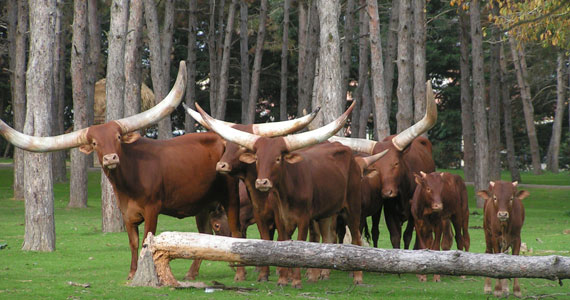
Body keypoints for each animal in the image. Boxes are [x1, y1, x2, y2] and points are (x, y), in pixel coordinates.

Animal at [191, 101, 386, 288]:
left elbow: (294, 245)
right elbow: (271, 243)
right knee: (327, 237)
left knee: (354, 237)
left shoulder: (300, 219)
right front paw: (267, 275)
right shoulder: (268, 218)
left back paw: (354, 277)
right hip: (326, 213)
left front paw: (291, 278)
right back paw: (320, 274)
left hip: (352, 209)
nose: (221, 165)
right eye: (226, 145)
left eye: (241, 148)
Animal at [328, 81, 434, 250]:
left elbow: (408, 236)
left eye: (396, 163)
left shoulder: (414, 213)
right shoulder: (389, 212)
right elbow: (395, 237)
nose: (387, 193)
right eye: (377, 167)